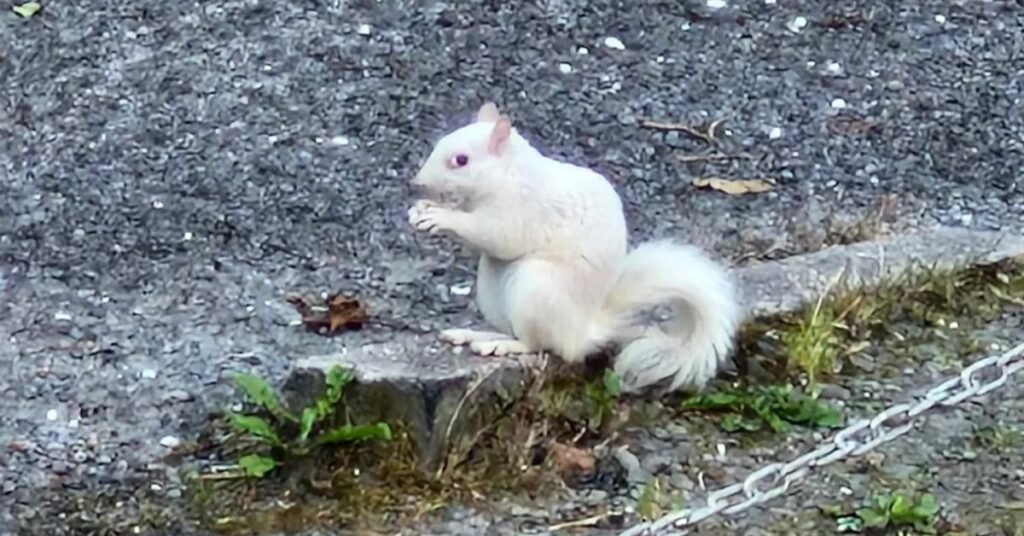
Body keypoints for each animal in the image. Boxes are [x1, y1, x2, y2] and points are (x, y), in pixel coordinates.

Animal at [407, 102, 743, 394]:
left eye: (461, 160)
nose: (416, 183)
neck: (509, 174)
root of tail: (583, 331)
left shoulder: (524, 209)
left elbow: (499, 236)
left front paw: (440, 216)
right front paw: (422, 209)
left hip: (535, 287)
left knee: (538, 344)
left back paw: (501, 345)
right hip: (492, 293)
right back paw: (476, 334)